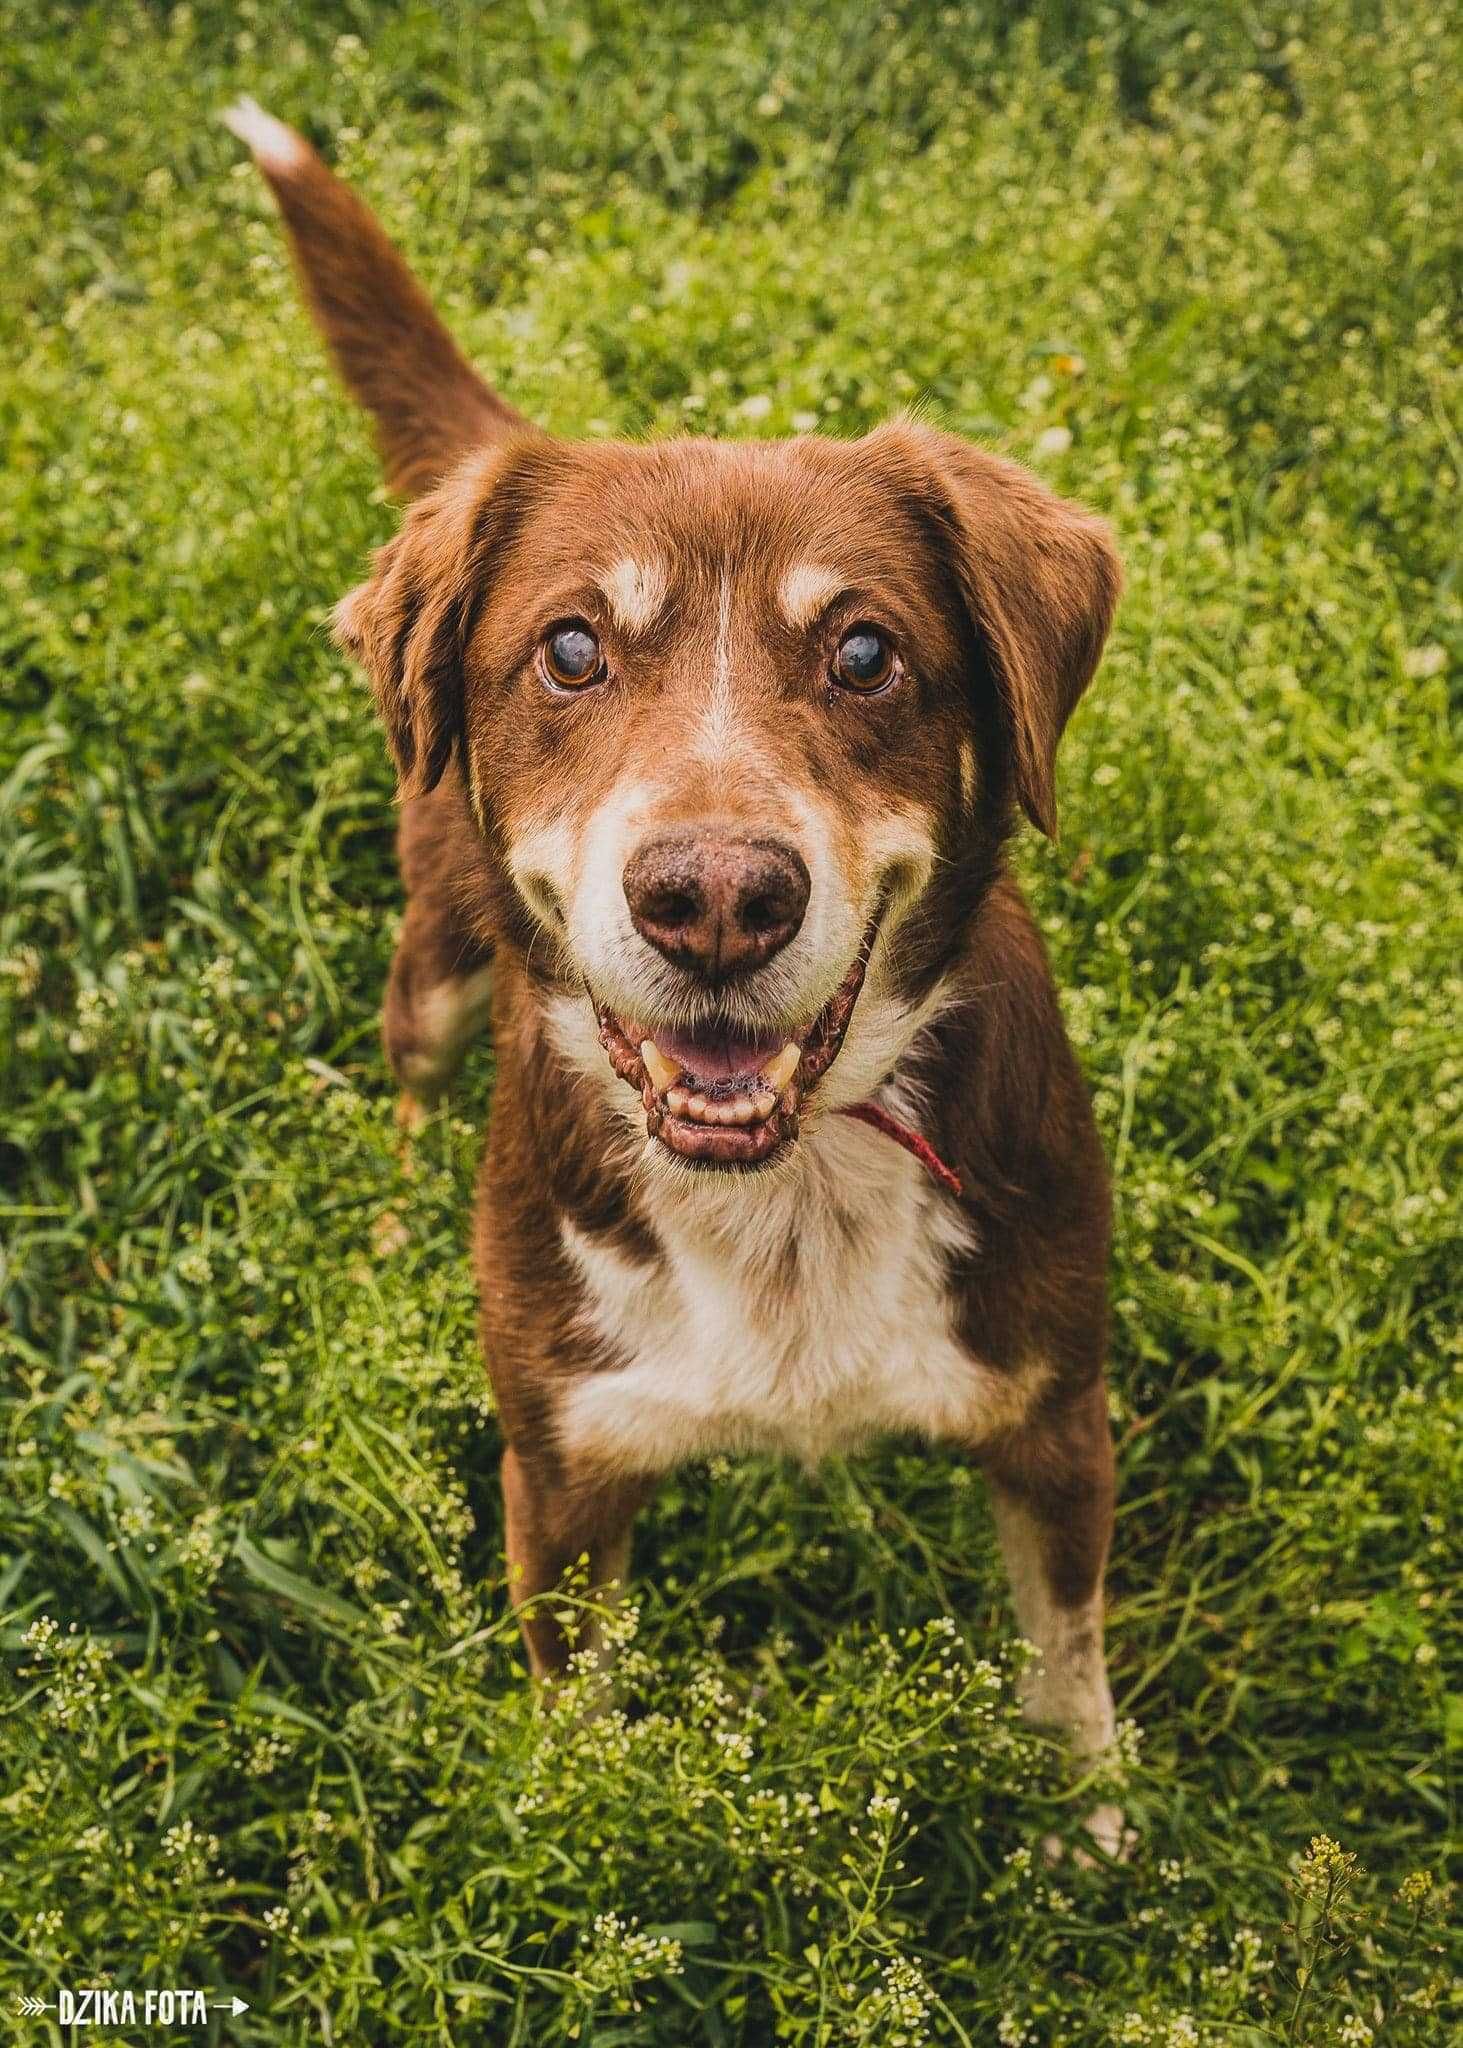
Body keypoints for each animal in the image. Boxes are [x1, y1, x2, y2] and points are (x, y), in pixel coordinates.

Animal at [222, 99, 1122, 1859]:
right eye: (571, 650)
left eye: (863, 652)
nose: (715, 900)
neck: (783, 1193)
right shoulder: (564, 1467)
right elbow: (577, 1707)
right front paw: (586, 1831)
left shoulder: (1055, 1412)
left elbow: (1063, 1649)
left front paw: (1095, 1828)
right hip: (436, 963)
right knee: (410, 1078)